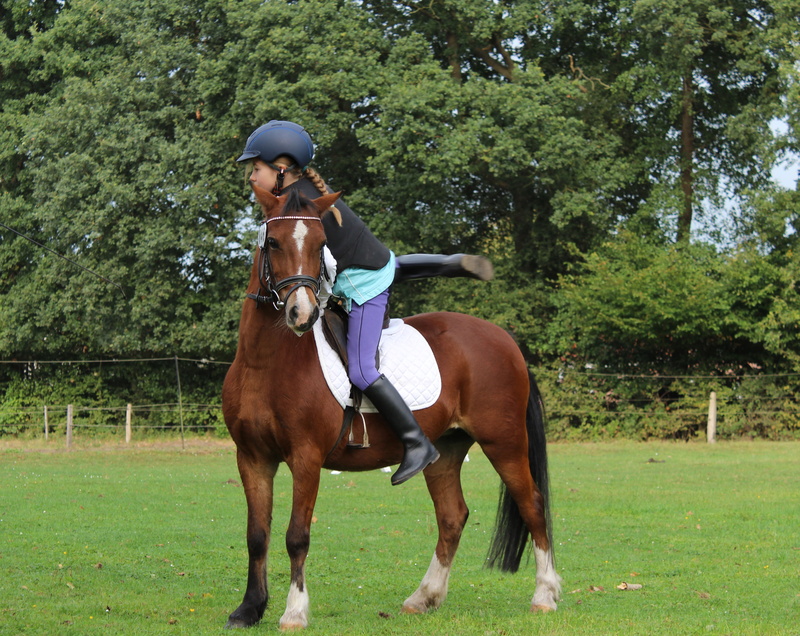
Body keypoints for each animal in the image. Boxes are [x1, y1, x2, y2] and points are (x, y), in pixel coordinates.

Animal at [221, 183, 562, 630]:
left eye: (320, 245)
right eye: (273, 242)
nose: (302, 313)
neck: (265, 362)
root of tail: (504, 339)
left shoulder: (305, 457)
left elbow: (297, 536)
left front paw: (294, 612)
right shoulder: (252, 457)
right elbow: (256, 535)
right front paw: (249, 608)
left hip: (503, 441)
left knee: (532, 505)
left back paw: (545, 595)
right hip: (446, 449)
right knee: (452, 516)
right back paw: (424, 597)